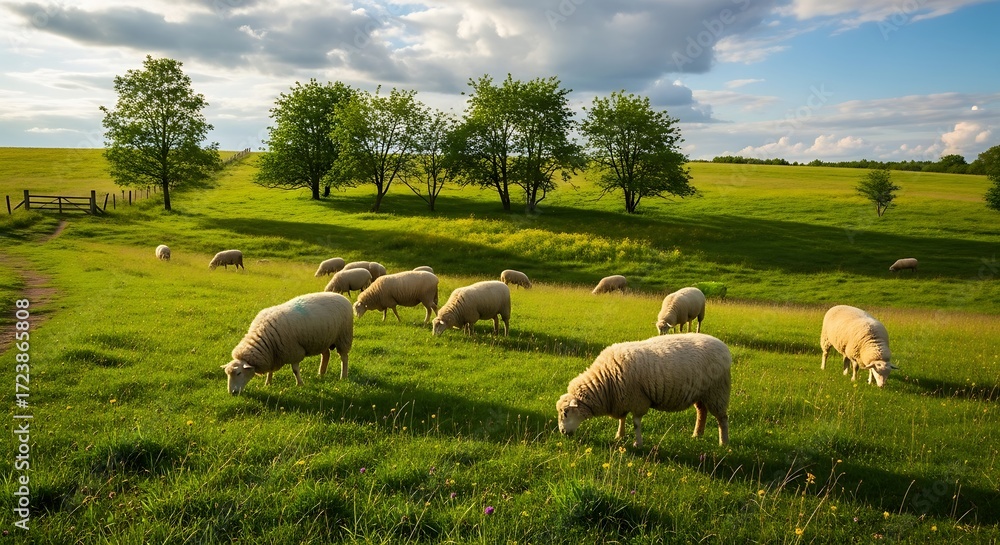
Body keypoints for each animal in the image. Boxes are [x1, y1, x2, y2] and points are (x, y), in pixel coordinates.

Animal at [221, 292, 353, 395]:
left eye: (238, 373)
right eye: (227, 374)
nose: (232, 393)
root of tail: (341, 296)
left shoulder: (293, 350)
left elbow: (295, 370)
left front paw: (300, 384)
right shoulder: (273, 354)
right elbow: (270, 370)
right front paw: (268, 383)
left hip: (343, 336)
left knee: (344, 358)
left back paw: (343, 376)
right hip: (323, 339)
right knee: (326, 355)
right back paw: (321, 374)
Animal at [557, 333, 731, 448]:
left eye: (565, 413)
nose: (563, 433)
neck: (606, 382)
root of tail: (724, 347)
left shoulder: (638, 400)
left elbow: (636, 424)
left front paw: (637, 443)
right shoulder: (623, 399)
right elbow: (622, 419)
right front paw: (619, 435)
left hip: (718, 391)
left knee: (722, 418)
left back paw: (723, 443)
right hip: (702, 393)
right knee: (702, 412)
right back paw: (697, 435)